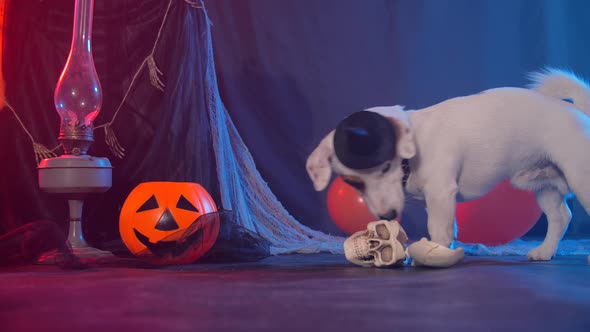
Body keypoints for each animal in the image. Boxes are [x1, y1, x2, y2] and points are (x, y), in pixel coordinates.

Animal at [308, 68, 590, 260]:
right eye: (353, 183)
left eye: (387, 167)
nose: (387, 215)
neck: (415, 148)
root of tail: (580, 112)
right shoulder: (436, 201)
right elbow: (447, 227)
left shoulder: (441, 193)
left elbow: (439, 229)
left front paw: (436, 253)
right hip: (543, 187)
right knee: (561, 217)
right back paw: (545, 251)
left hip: (580, 179)